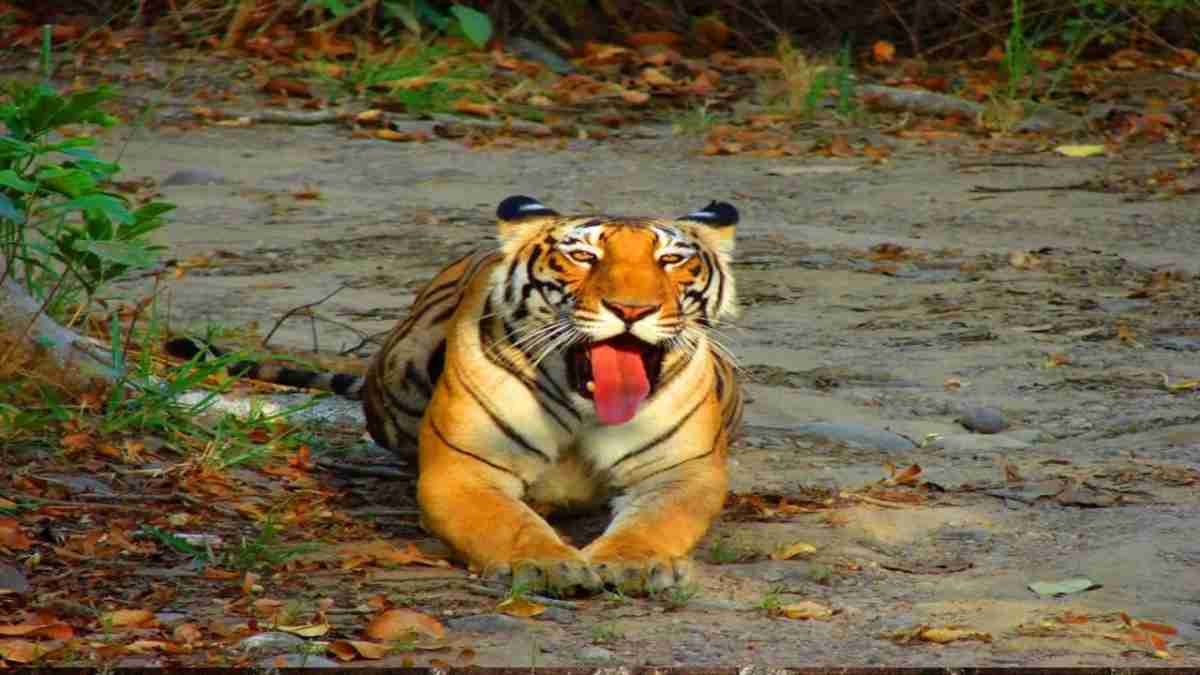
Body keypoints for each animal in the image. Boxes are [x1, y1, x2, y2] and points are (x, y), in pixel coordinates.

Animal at [168, 196, 742, 596]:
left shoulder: (681, 471)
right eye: (582, 256)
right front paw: (543, 564)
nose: (631, 309)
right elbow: (506, 523)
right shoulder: (465, 468)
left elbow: (657, 521)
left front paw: (630, 564)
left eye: (671, 260)